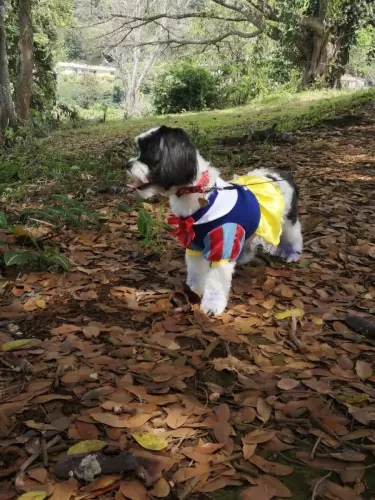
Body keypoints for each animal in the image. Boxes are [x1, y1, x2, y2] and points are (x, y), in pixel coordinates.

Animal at [128, 127, 304, 314]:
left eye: (148, 153)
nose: (127, 164)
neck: (200, 193)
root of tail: (280, 174)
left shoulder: (223, 241)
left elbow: (216, 282)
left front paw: (212, 306)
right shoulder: (195, 245)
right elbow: (196, 271)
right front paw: (193, 291)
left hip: (287, 219)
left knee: (293, 233)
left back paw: (292, 253)